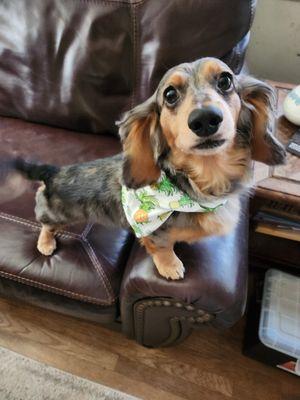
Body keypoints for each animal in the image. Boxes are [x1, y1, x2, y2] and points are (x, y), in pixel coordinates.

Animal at [5, 57, 286, 280]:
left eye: (225, 80)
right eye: (170, 95)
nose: (205, 119)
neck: (196, 185)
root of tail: (52, 172)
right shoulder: (154, 232)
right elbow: (162, 249)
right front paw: (171, 266)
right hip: (57, 214)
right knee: (45, 224)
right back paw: (45, 243)